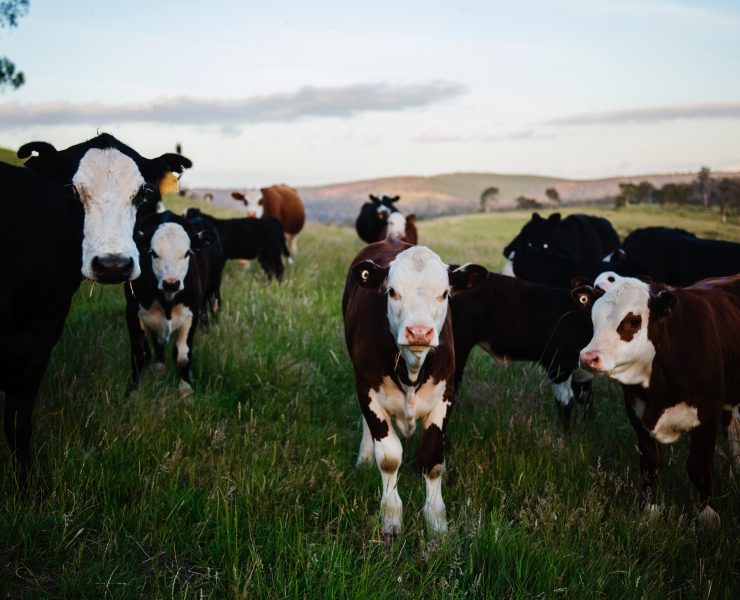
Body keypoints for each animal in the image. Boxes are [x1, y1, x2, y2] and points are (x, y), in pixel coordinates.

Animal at [125, 212, 222, 394]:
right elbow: (139, 354)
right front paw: (133, 392)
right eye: (153, 253)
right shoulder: (133, 312)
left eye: (187, 253)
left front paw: (186, 390)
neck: (167, 302)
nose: (171, 283)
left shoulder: (192, 313)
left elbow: (183, 355)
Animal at [343, 239, 487, 540]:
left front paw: (436, 524)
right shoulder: (367, 389)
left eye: (444, 293)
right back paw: (364, 458)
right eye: (392, 291)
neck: (411, 369)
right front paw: (391, 520)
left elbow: (431, 458)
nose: (419, 332)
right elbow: (389, 458)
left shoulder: (445, 395)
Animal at [451, 272, 594, 427]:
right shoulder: (558, 364)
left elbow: (586, 400)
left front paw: (586, 428)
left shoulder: (582, 373)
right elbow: (565, 401)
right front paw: (565, 432)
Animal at [574, 275, 740, 525]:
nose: (588, 358)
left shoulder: (709, 411)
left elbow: (698, 466)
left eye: (633, 321)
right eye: (594, 318)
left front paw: (706, 515)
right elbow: (650, 462)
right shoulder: (636, 411)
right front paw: (648, 511)